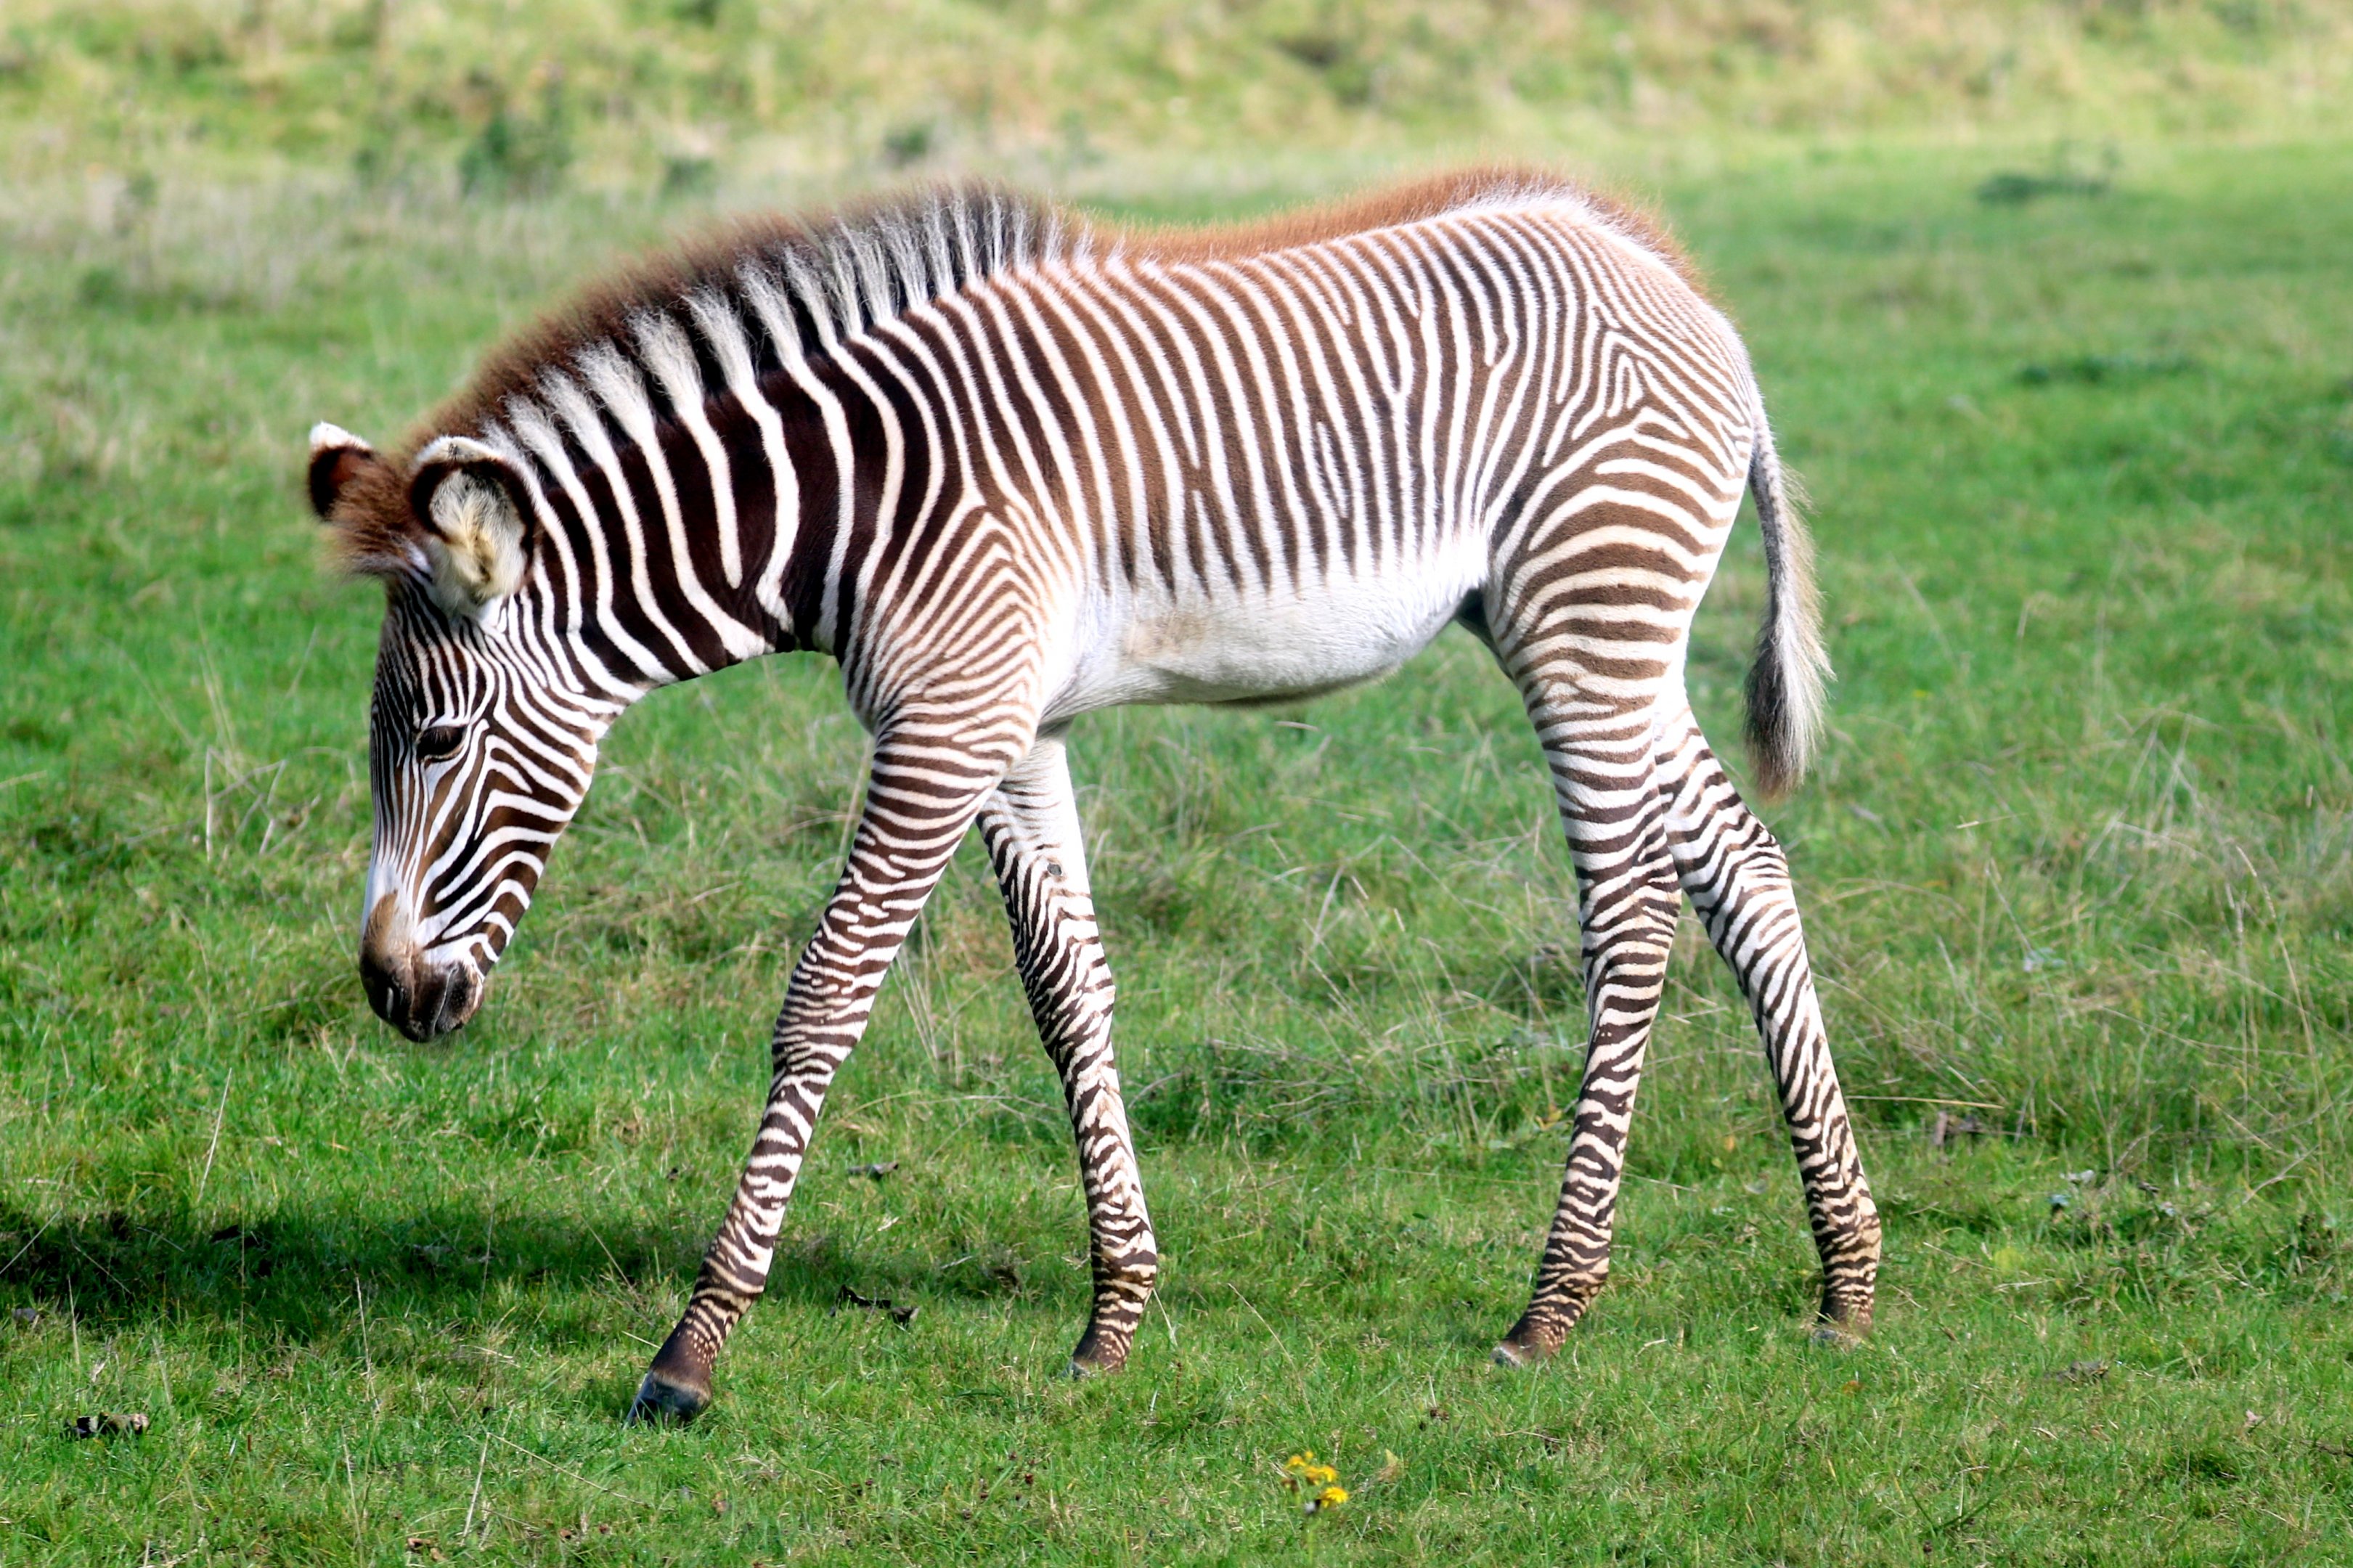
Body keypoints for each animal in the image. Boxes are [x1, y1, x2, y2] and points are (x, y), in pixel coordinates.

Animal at [305, 171, 1882, 1423]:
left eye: (436, 741)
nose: (387, 991)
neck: (850, 510)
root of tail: (1678, 286)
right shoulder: (1009, 726)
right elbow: (1068, 993)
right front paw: (1114, 1314)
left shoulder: (940, 727)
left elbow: (822, 1001)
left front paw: (691, 1354)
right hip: (1594, 633)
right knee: (1744, 871)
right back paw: (1844, 1278)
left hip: (1587, 621)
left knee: (1633, 921)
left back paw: (1554, 1305)